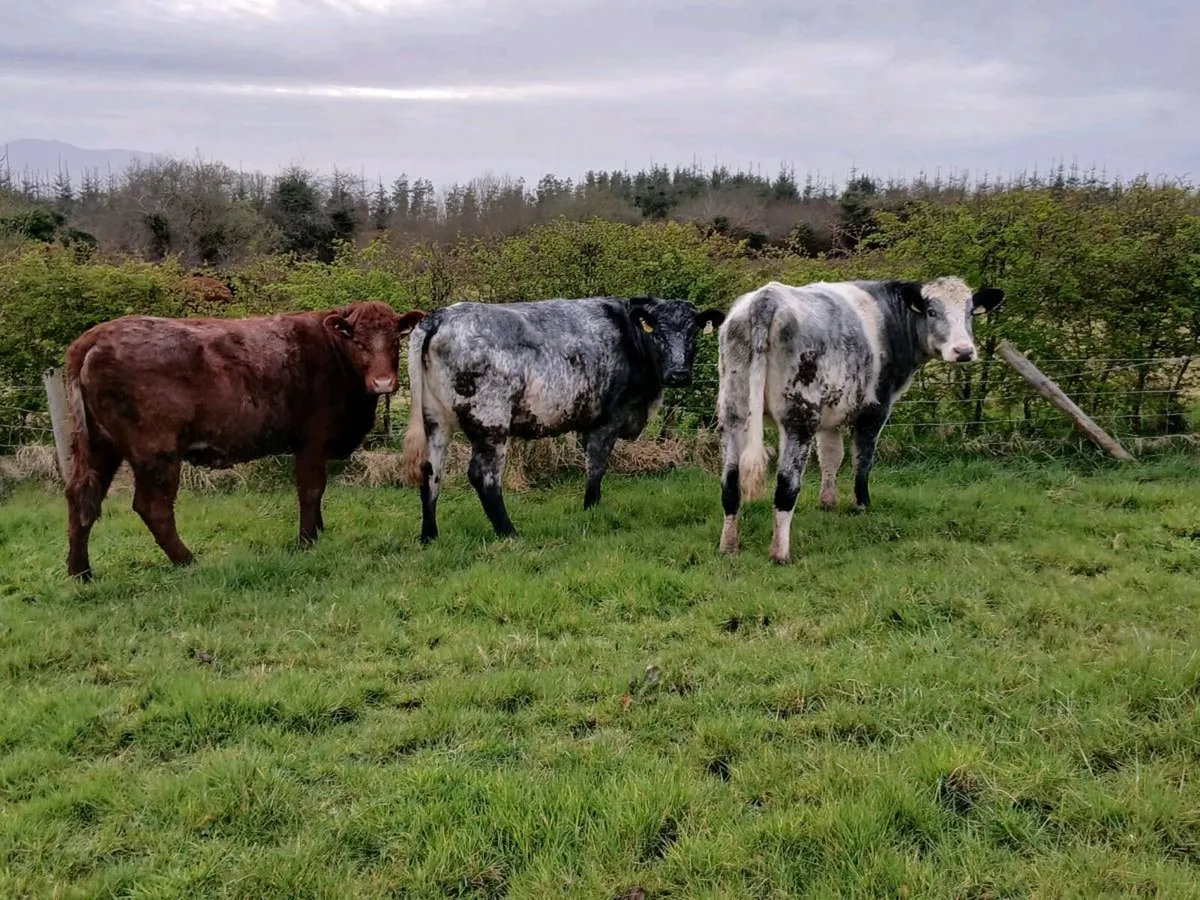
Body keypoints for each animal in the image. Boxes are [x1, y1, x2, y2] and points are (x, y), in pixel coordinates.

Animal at [64, 300, 426, 580]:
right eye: (358, 341)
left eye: (395, 340)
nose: (383, 382)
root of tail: (92, 338)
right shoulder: (312, 441)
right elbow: (311, 490)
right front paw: (307, 541)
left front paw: (318, 533)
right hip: (156, 452)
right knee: (152, 507)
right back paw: (188, 561)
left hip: (99, 446)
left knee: (82, 496)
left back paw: (81, 572)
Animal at [400, 296, 725, 542]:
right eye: (657, 332)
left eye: (693, 334)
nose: (679, 374)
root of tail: (439, 316)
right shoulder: (608, 419)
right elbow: (596, 467)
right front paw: (591, 510)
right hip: (490, 422)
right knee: (483, 476)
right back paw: (509, 532)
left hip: (435, 421)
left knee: (430, 472)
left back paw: (429, 536)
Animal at [716, 276, 1005, 563]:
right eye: (932, 312)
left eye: (970, 312)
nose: (964, 351)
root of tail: (766, 298)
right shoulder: (875, 409)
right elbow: (862, 459)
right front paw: (861, 505)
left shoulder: (830, 415)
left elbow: (831, 456)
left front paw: (827, 502)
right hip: (799, 416)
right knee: (787, 485)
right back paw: (780, 553)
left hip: (733, 413)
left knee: (730, 483)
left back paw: (729, 546)